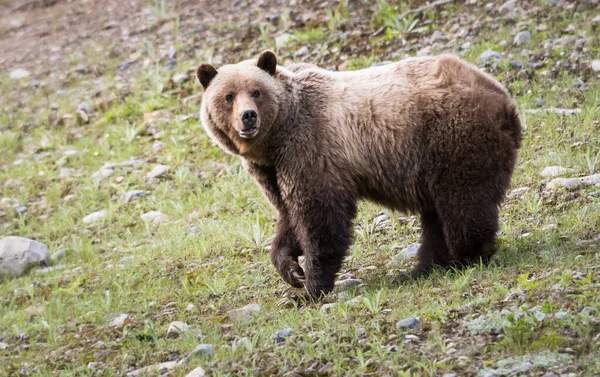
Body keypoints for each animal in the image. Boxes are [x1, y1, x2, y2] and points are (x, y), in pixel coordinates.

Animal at [196, 50, 520, 298]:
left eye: (256, 91)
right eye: (228, 96)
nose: (248, 116)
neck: (275, 139)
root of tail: (503, 99)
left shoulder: (312, 148)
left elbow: (319, 216)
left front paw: (312, 286)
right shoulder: (274, 170)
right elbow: (288, 216)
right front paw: (291, 269)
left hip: (451, 137)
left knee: (462, 202)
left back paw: (468, 256)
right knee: (436, 216)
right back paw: (424, 268)